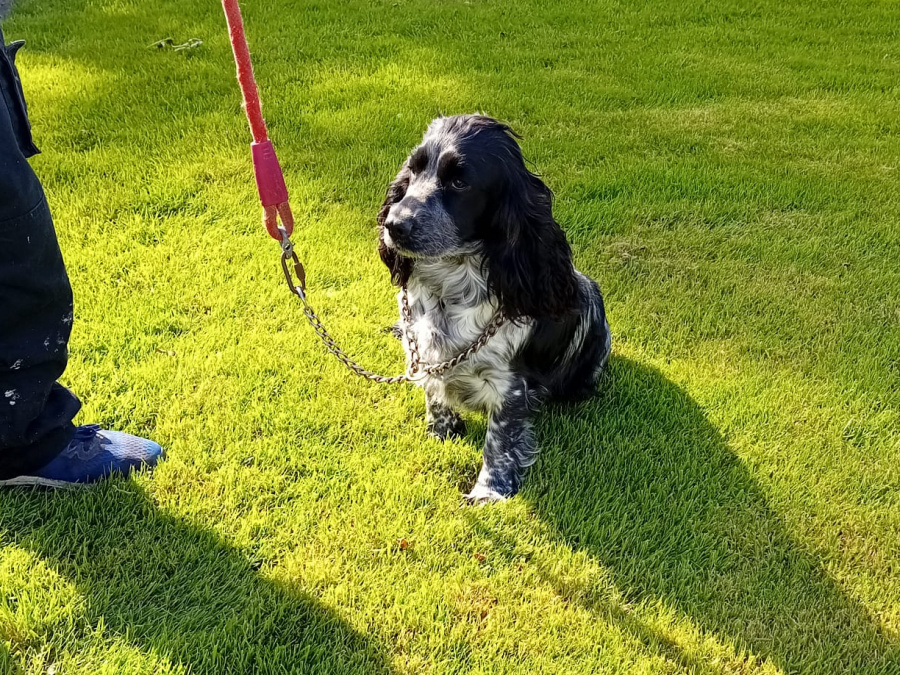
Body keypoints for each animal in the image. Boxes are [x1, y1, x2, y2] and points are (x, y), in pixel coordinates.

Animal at [376, 115, 608, 502]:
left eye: (459, 181)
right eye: (413, 170)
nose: (393, 225)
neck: (450, 284)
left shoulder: (510, 388)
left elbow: (500, 440)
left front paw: (488, 494)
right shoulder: (424, 348)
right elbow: (434, 392)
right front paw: (441, 431)